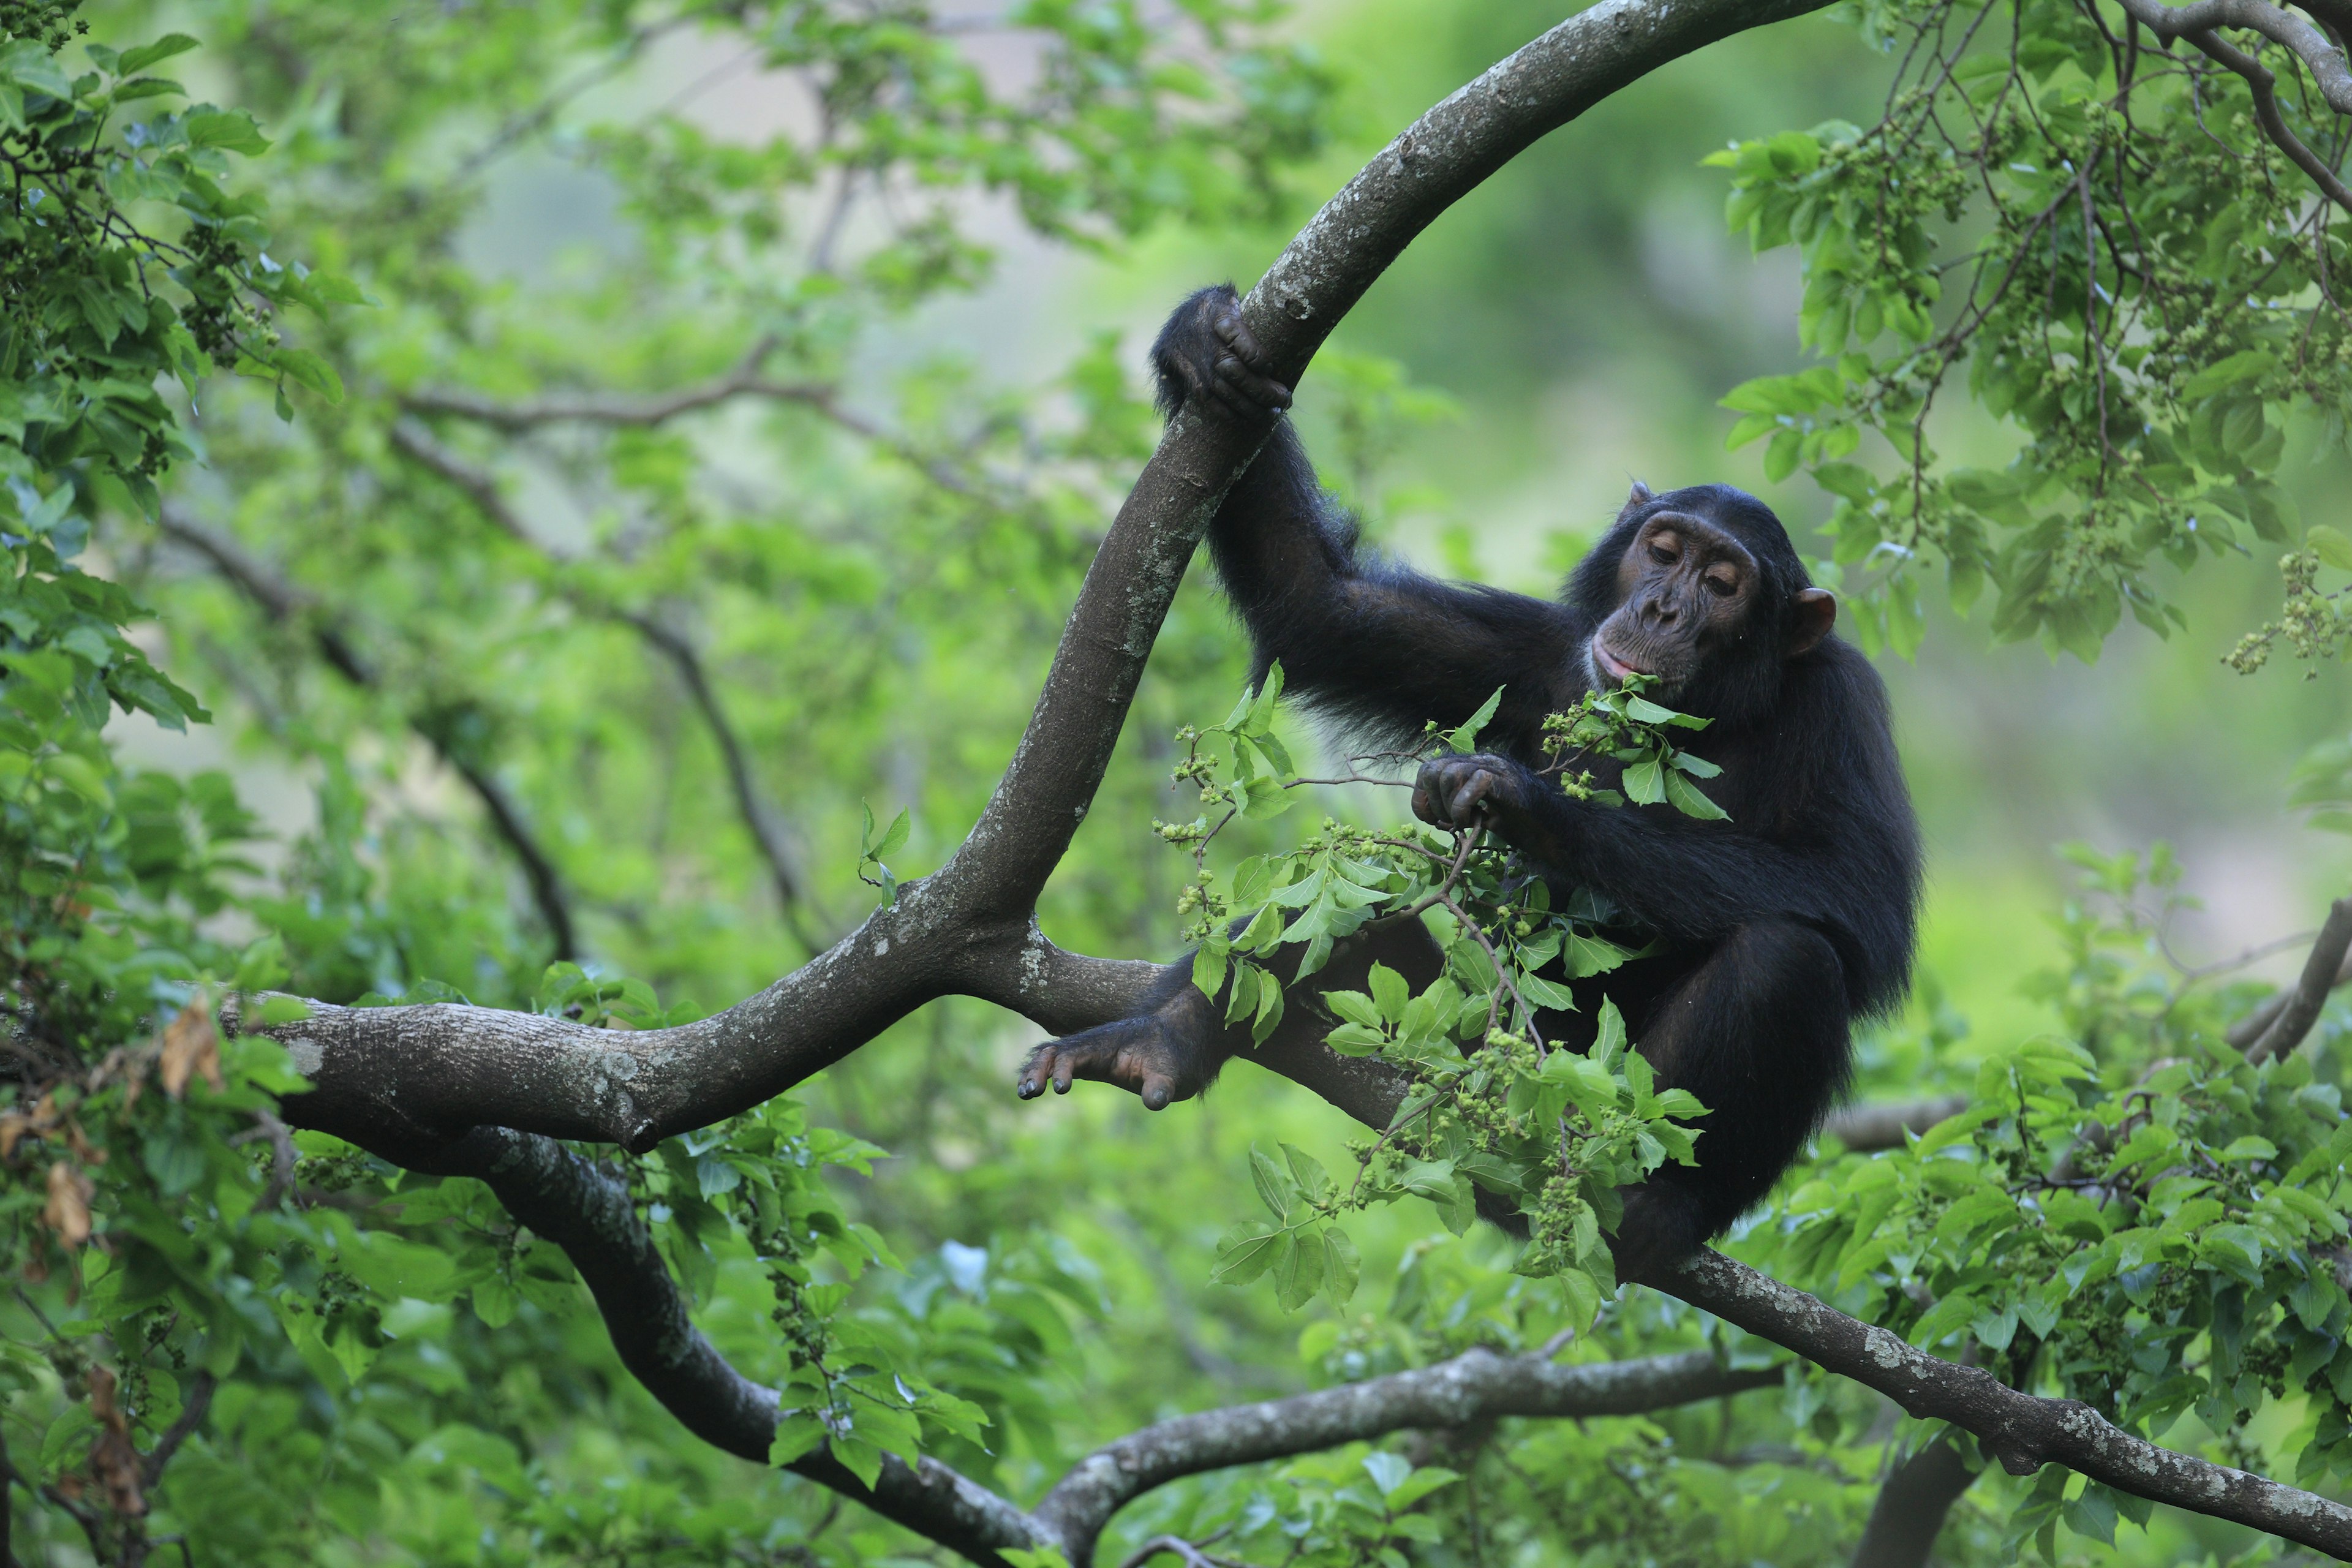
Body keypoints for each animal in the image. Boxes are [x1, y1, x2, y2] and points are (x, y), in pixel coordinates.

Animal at [1020, 288, 1919, 1278]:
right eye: (1662, 549)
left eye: (1722, 583)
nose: (1661, 608)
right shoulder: (1534, 653)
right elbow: (1325, 607)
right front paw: (1204, 342)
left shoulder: (1844, 708)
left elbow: (1854, 892)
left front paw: (1517, 798)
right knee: (1362, 902)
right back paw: (1159, 1040)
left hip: (1592, 1100)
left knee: (1787, 957)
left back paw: (1656, 1206)